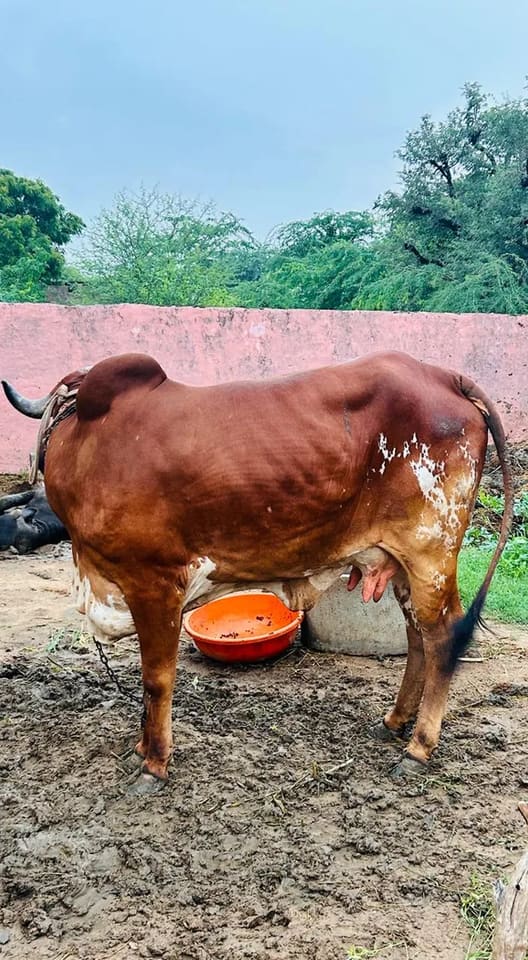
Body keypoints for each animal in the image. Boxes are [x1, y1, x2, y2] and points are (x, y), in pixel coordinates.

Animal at [2, 351, 513, 795]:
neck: (89, 442)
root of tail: (444, 376)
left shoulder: (156, 583)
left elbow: (155, 680)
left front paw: (155, 764)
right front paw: (140, 748)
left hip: (431, 552)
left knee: (442, 637)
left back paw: (418, 749)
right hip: (400, 562)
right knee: (416, 637)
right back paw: (393, 723)